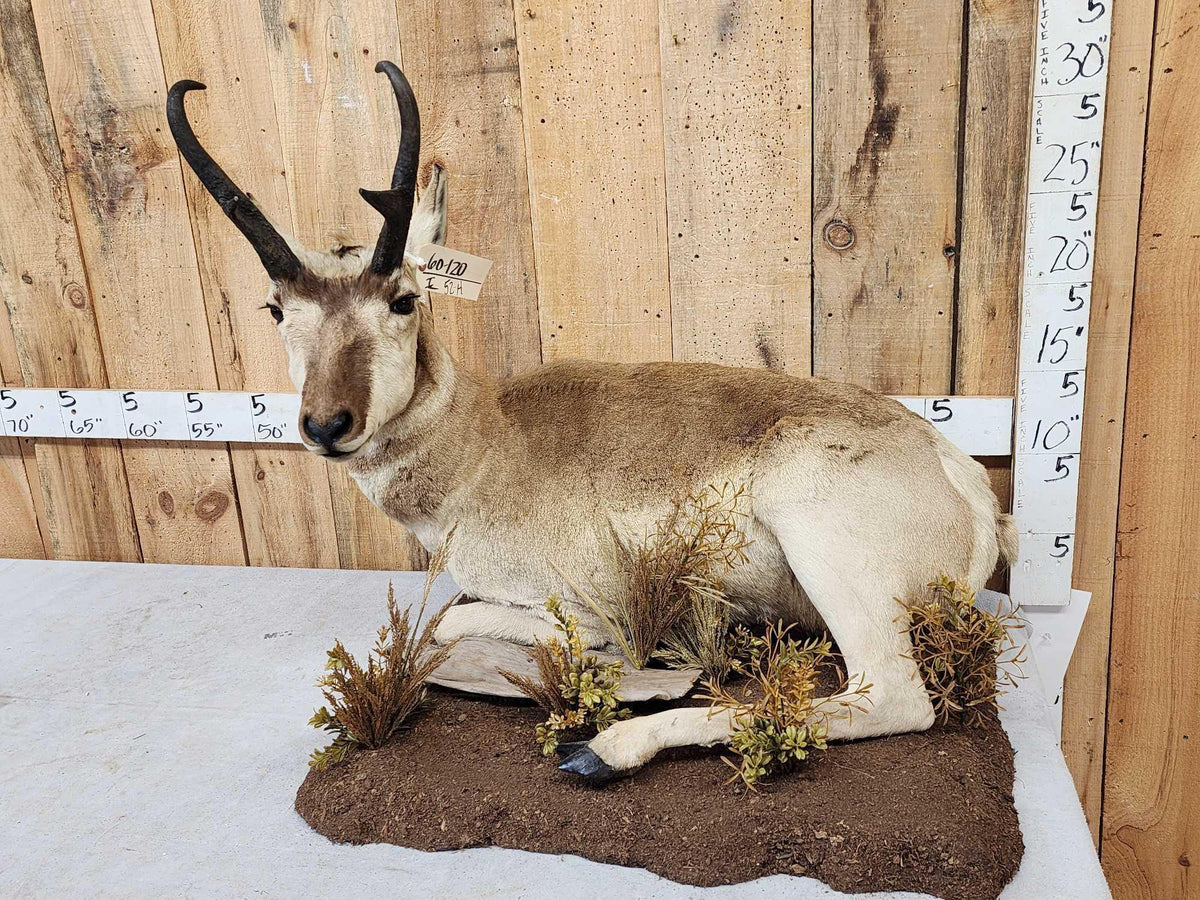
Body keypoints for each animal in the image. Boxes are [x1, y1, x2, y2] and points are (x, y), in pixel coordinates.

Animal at [167, 62, 1017, 782]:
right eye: (276, 308)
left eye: (403, 298)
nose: (326, 423)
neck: (485, 439)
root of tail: (960, 476)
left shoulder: (581, 606)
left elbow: (451, 626)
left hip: (831, 561)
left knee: (890, 699)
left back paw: (606, 748)